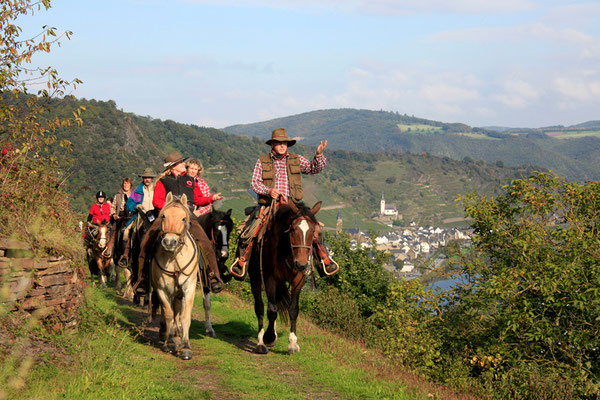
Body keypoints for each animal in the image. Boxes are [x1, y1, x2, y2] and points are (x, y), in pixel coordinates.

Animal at [151, 192, 198, 360]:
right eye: (163, 216)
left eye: (183, 218)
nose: (169, 242)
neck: (174, 257)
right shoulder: (162, 289)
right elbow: (168, 314)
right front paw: (167, 342)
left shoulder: (189, 288)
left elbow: (184, 316)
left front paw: (186, 347)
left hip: (178, 292)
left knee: (178, 311)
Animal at [198, 209, 233, 338]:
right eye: (217, 231)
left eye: (229, 231)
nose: (224, 255)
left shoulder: (206, 280)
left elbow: (207, 304)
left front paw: (209, 329)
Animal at [248, 200, 322, 354]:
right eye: (292, 229)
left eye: (313, 231)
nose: (301, 264)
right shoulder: (270, 277)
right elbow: (271, 310)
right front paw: (269, 337)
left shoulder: (298, 279)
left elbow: (293, 309)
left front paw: (293, 343)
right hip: (256, 277)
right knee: (260, 306)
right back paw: (261, 342)